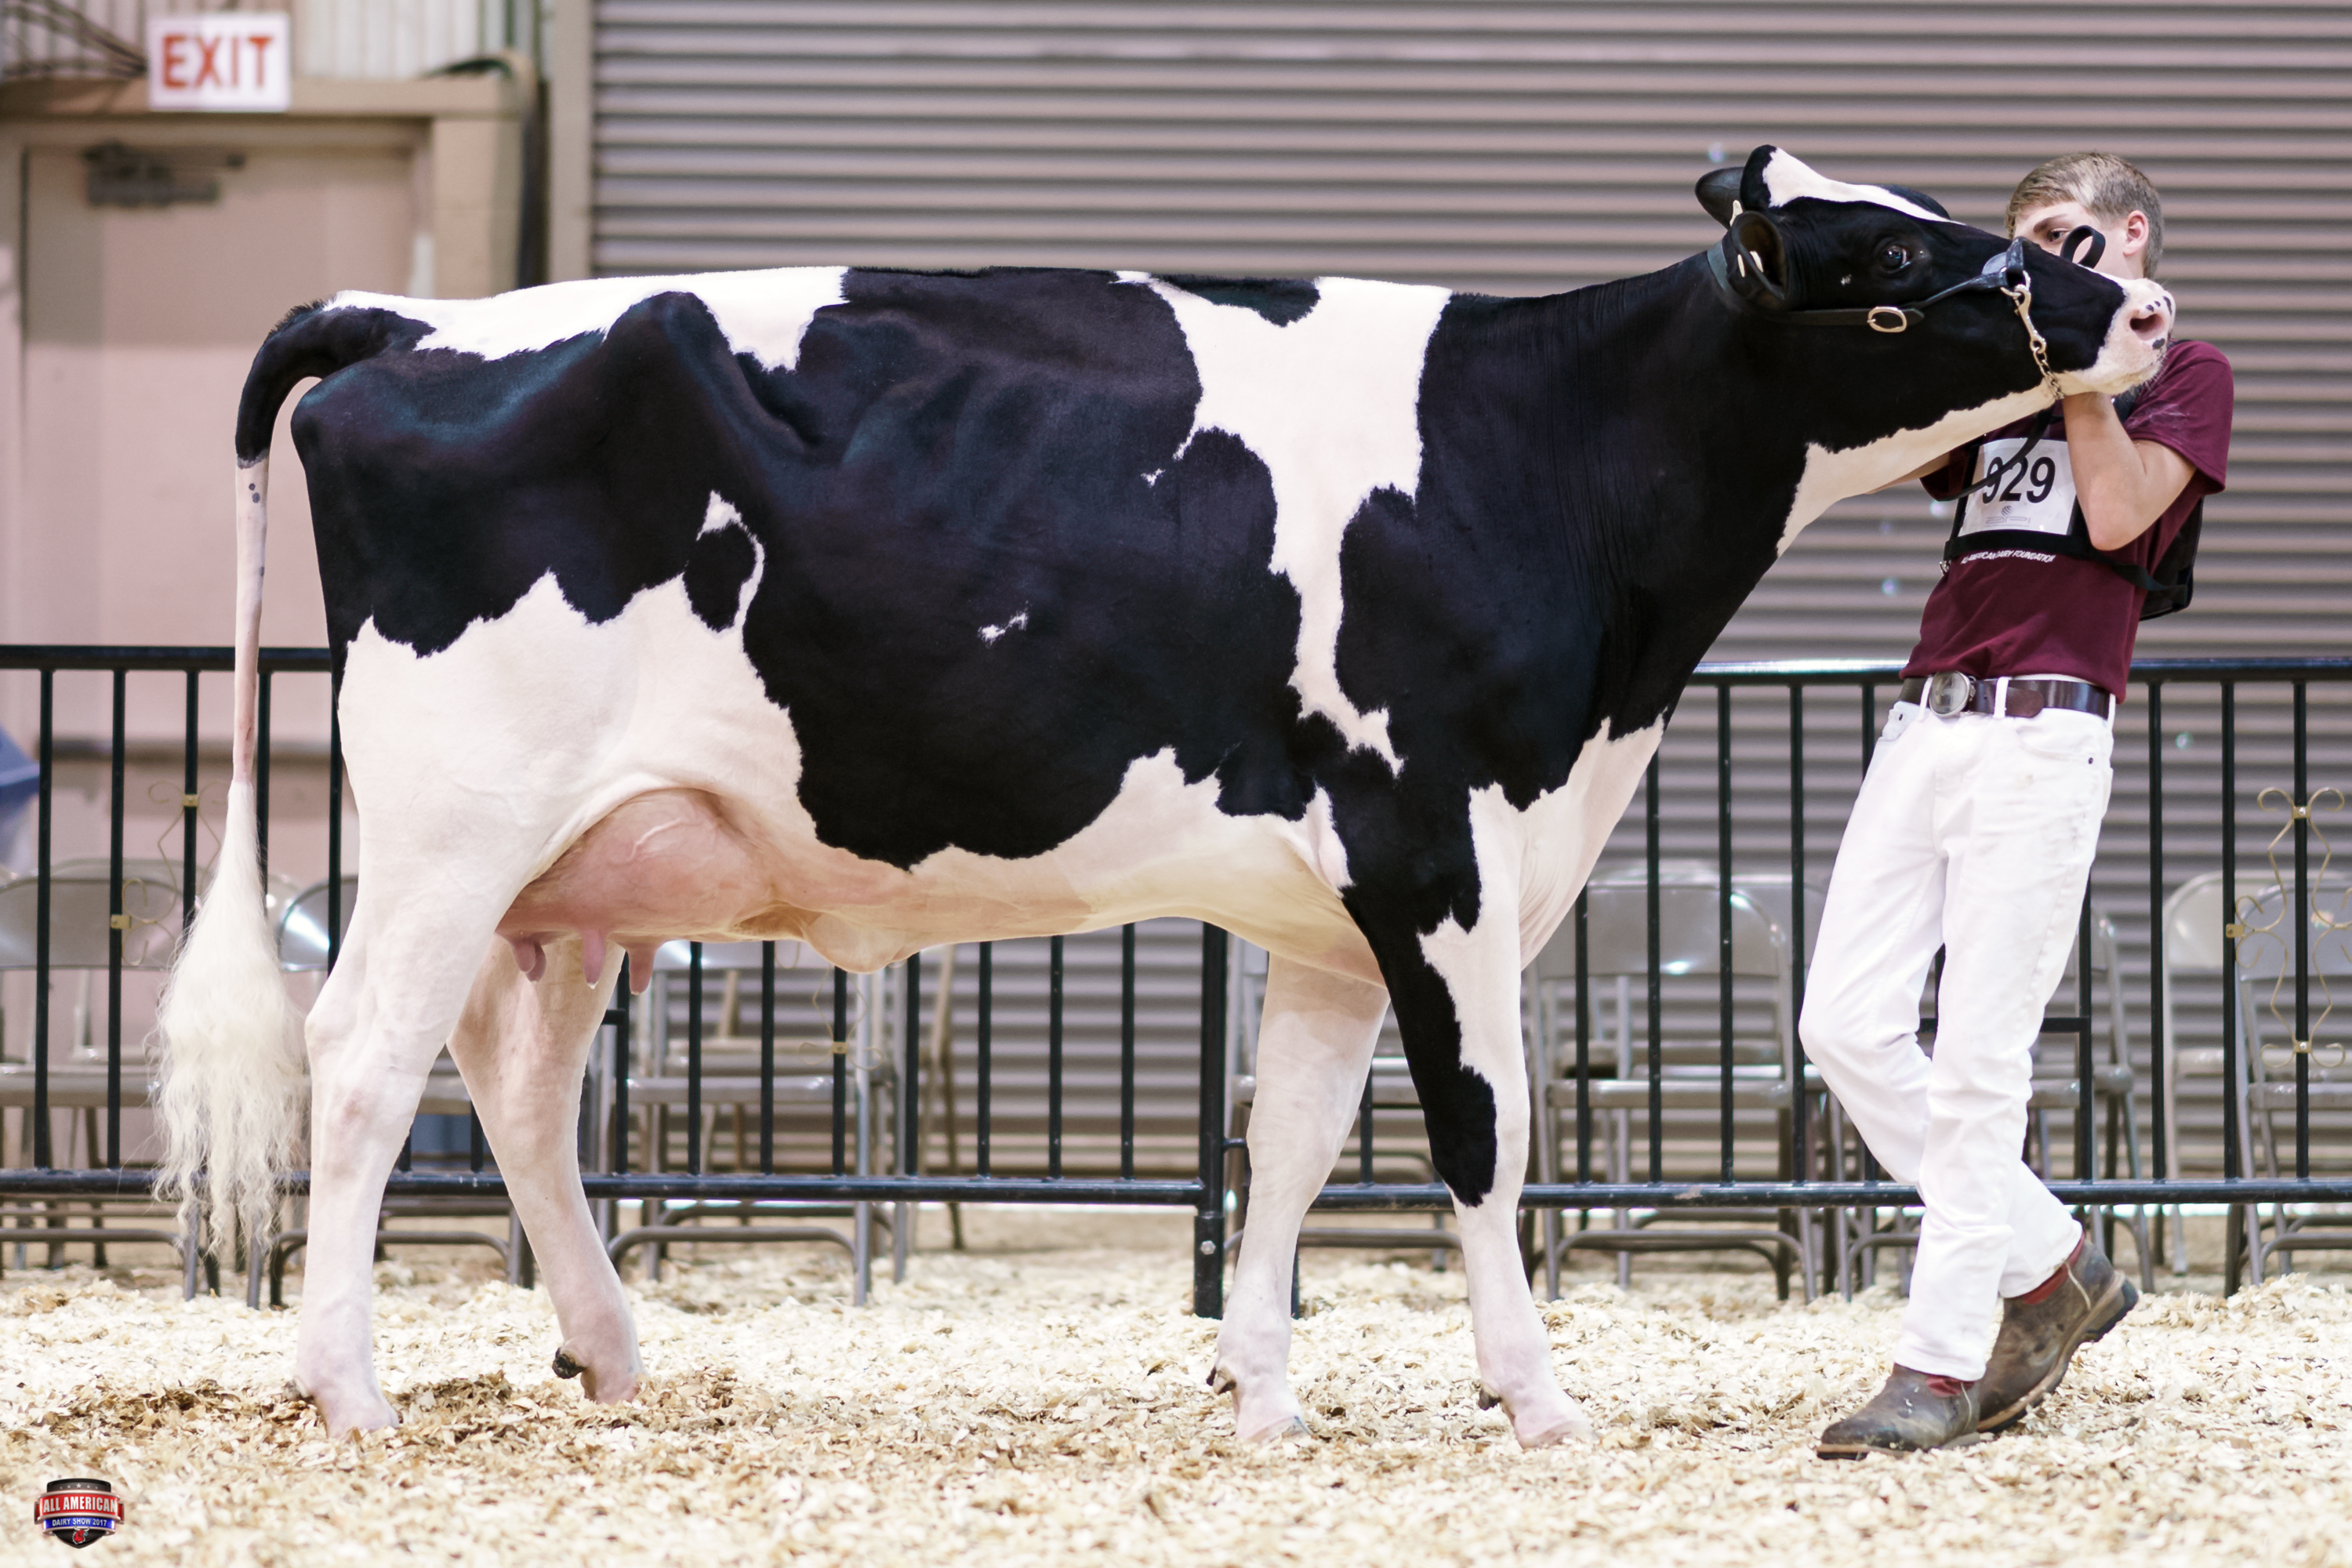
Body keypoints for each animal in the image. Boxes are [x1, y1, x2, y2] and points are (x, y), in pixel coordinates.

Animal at [155, 146, 2173, 1444]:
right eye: (1899, 278)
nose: (2138, 302)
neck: (1545, 462)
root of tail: (410, 317)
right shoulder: (1432, 846)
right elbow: (1479, 1134)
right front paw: (1534, 1394)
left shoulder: (1341, 909)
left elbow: (1288, 1136)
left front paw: (1264, 1392)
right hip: (452, 826)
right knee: (363, 1061)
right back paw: (350, 1387)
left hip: (580, 865)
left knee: (516, 1081)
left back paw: (611, 1352)